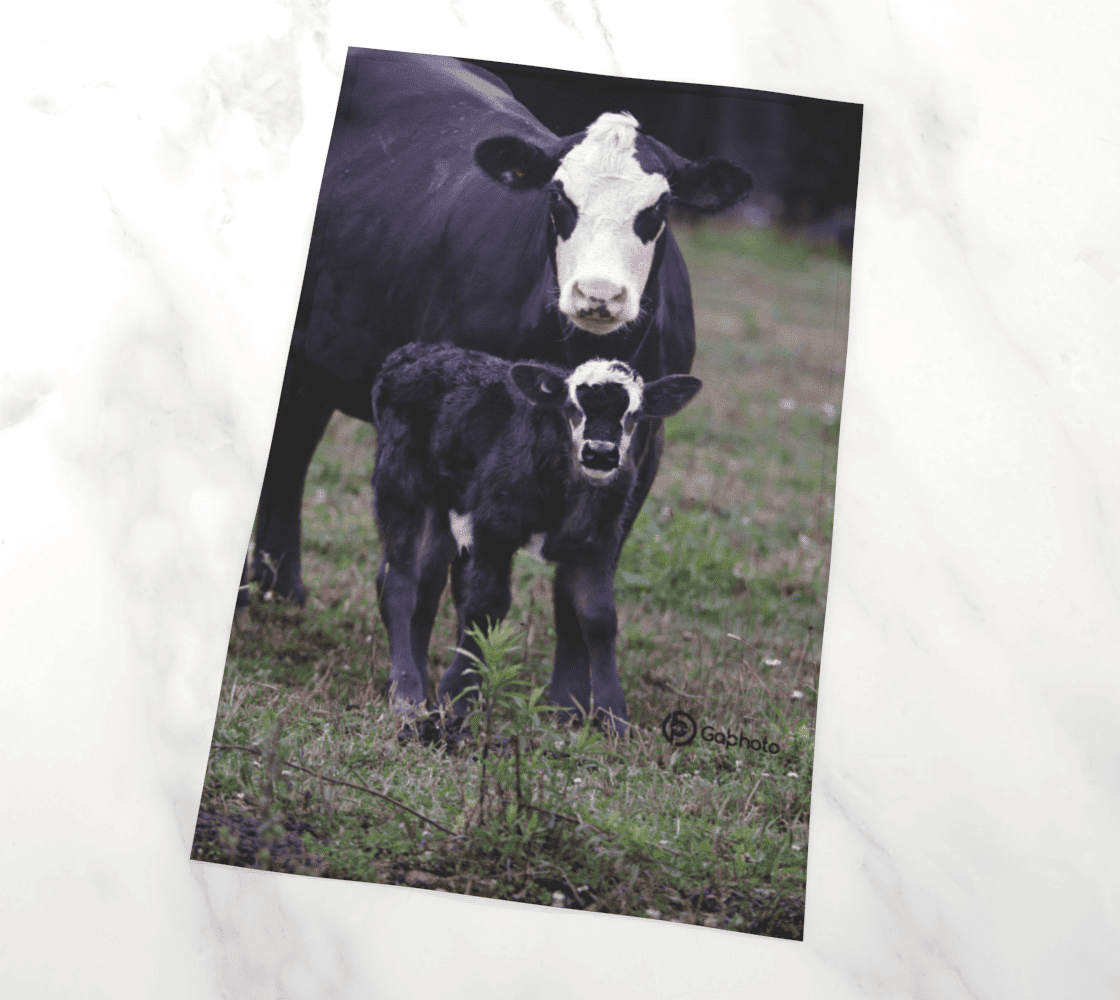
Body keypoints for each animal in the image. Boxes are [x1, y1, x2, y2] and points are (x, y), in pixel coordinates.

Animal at [371, 343, 702, 731]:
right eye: (572, 408)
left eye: (634, 414)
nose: (600, 453)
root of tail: (412, 352)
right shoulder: (494, 525)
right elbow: (486, 606)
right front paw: (459, 698)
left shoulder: (598, 541)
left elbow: (599, 618)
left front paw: (614, 716)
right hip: (399, 482)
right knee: (398, 583)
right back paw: (406, 694)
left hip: (444, 500)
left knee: (426, 586)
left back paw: (419, 684)